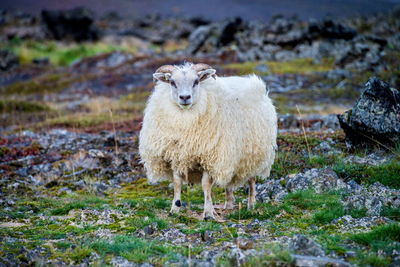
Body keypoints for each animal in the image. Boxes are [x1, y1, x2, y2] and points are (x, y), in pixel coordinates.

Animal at [140, 62, 278, 220]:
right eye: (172, 82)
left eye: (196, 81)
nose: (185, 97)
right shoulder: (176, 156)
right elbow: (177, 183)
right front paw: (174, 209)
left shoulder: (210, 157)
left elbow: (206, 185)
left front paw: (208, 213)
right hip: (230, 157)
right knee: (228, 183)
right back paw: (228, 204)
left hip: (253, 155)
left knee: (252, 180)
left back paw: (251, 205)